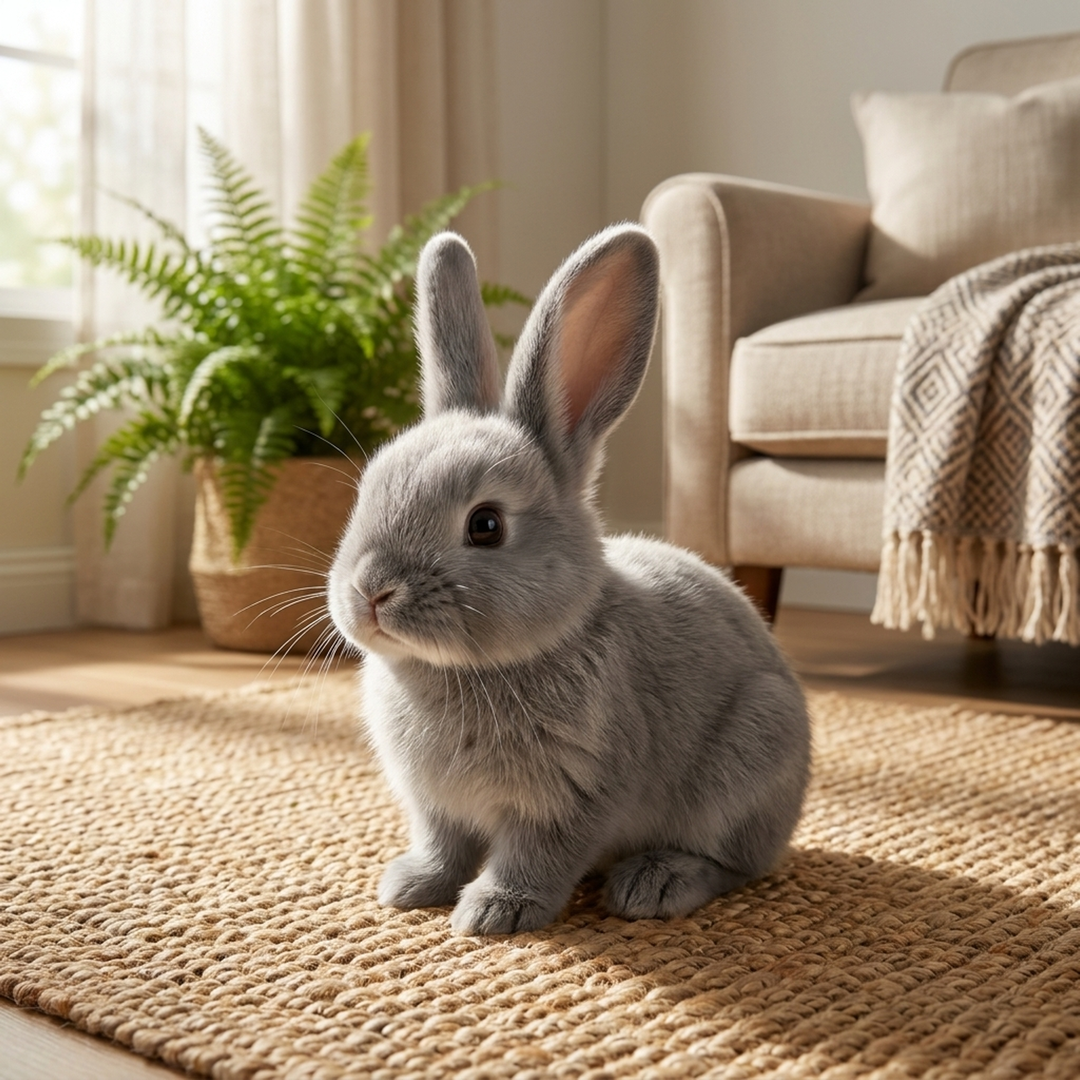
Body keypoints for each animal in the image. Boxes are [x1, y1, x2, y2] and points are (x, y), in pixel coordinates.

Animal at [327, 223, 811, 936]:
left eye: (486, 526)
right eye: (366, 491)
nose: (371, 593)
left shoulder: (572, 798)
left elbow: (537, 857)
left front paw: (493, 912)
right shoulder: (436, 807)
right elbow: (443, 847)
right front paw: (411, 886)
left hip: (749, 759)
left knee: (734, 865)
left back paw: (653, 884)